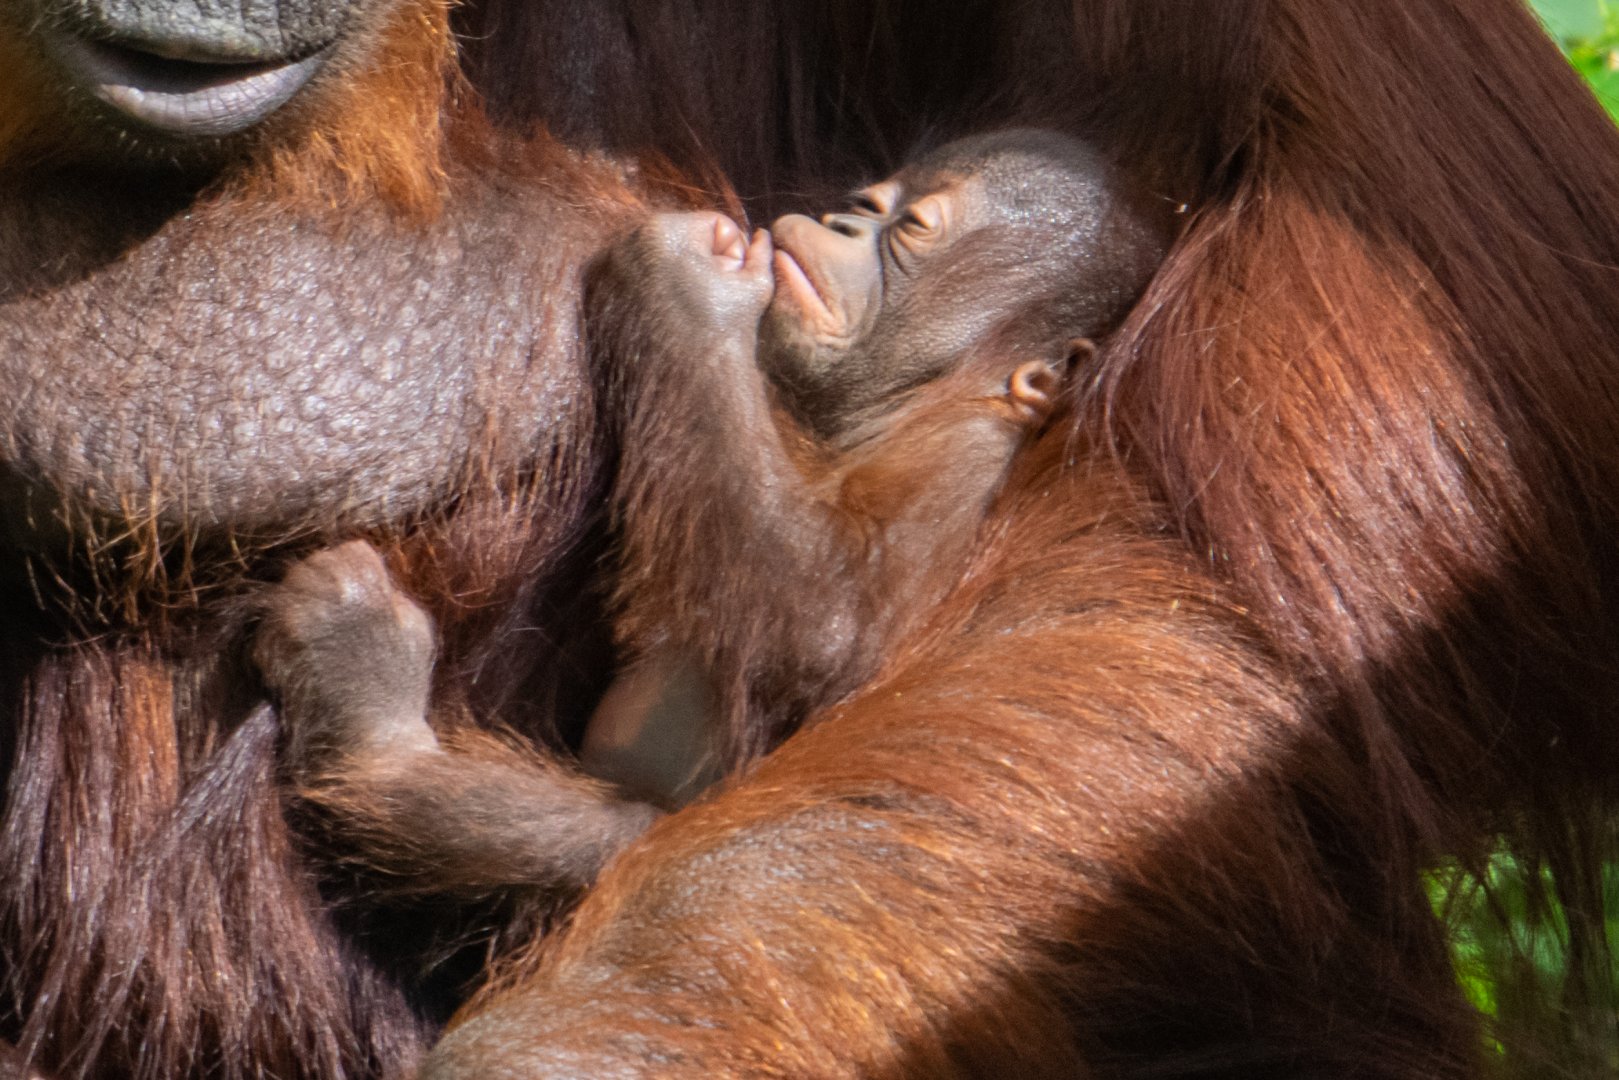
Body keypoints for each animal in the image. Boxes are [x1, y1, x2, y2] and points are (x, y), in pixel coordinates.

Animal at [254, 129, 1171, 899]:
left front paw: (688, 281)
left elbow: (830, 632)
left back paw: (375, 731)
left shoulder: (953, 468)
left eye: (908, 229)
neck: (862, 428)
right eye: (870, 202)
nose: (842, 219)